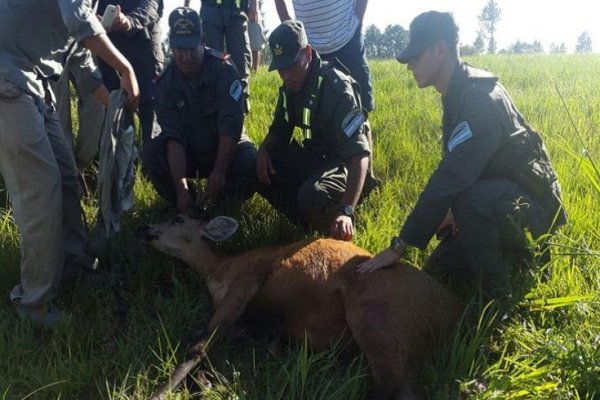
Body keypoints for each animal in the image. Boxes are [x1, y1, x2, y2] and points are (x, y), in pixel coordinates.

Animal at [138, 216, 466, 400]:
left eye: (178, 219)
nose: (147, 228)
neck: (221, 270)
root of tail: (454, 307)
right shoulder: (253, 321)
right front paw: (208, 380)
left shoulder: (248, 281)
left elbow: (198, 346)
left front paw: (161, 391)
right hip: (405, 344)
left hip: (374, 315)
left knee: (387, 380)